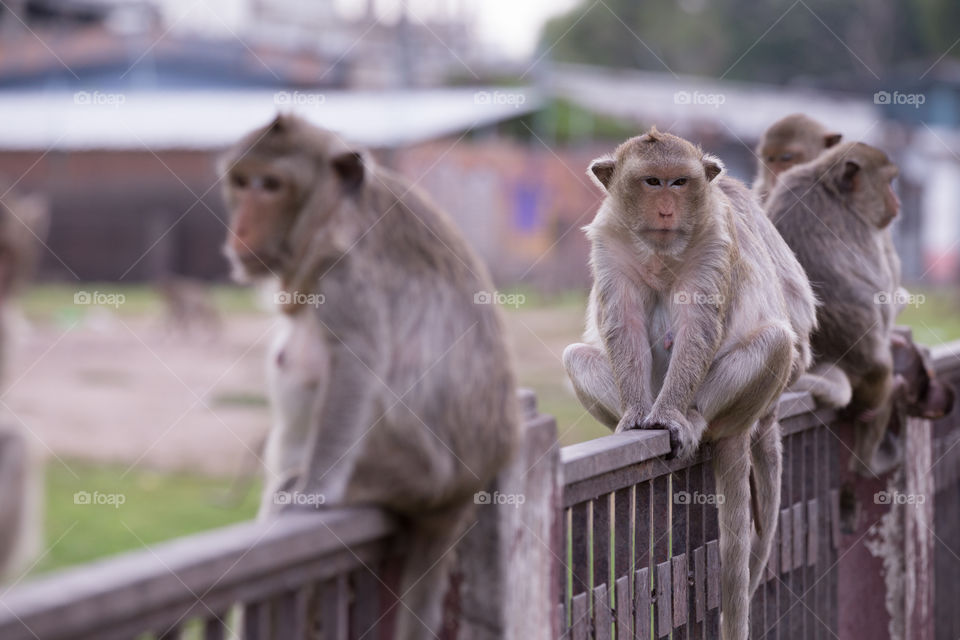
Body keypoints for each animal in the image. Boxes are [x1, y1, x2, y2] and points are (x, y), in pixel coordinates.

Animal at [219, 115, 516, 640]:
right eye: (241, 182)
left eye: (271, 185)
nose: (241, 229)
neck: (336, 218)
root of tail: (464, 489)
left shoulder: (347, 276)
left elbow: (356, 362)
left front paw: (313, 496)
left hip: (416, 473)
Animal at [564, 127, 816, 636]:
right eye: (651, 182)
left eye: (679, 182)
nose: (666, 209)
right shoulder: (610, 241)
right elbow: (623, 324)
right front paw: (638, 418)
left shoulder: (715, 240)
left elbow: (699, 325)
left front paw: (666, 418)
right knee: (577, 356)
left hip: (735, 409)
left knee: (777, 341)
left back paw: (693, 419)